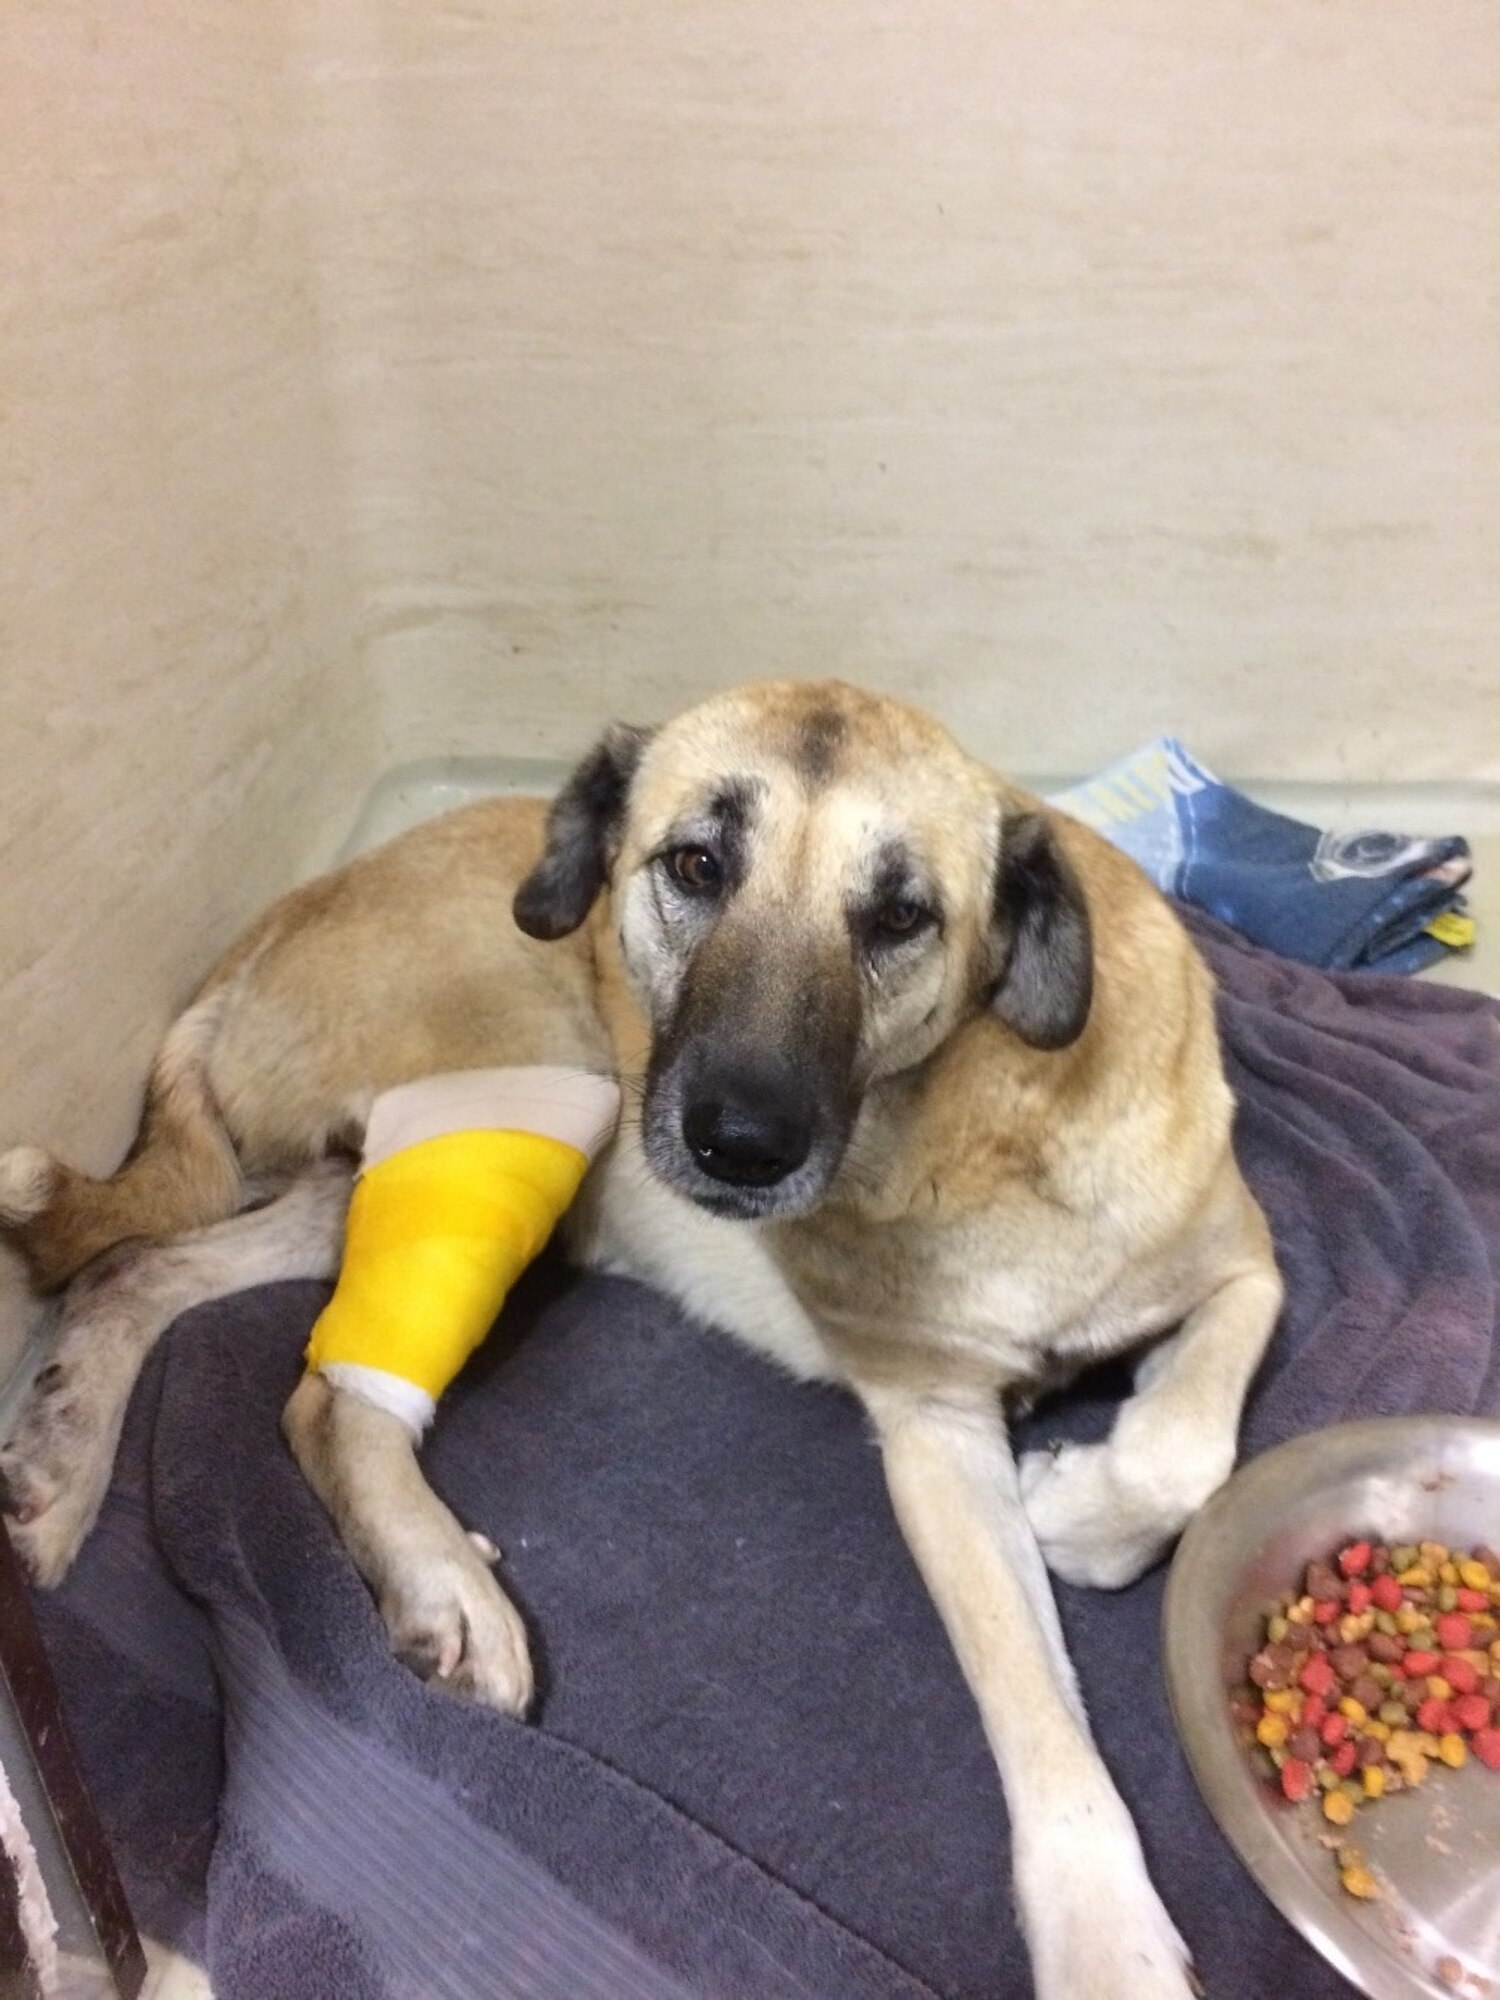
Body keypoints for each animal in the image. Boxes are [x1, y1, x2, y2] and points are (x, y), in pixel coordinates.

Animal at [2, 680, 1296, 1992]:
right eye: (696, 864)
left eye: (900, 914)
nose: (741, 1140)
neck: (982, 1117)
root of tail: (269, 927)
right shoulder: (933, 1431)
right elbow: (1040, 1703)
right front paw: (1108, 1938)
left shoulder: (1246, 1259)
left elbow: (1187, 1447)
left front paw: (1087, 1504)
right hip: (529, 1094)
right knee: (325, 1396)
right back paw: (440, 1581)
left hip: (369, 1181)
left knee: (137, 1272)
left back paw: (62, 1461)